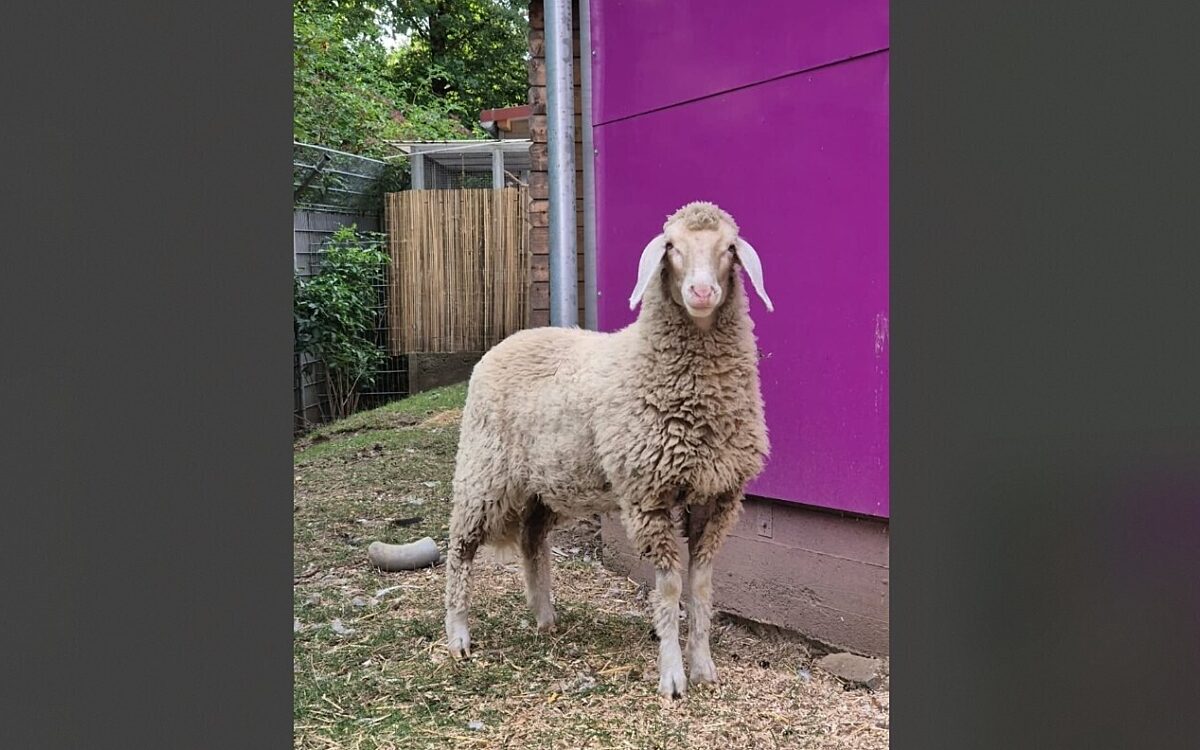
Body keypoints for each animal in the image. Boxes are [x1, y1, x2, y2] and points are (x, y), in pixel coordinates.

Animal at [443, 201, 773, 698]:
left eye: (730, 248)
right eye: (671, 246)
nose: (701, 291)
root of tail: (511, 338)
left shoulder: (716, 496)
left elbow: (701, 586)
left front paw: (703, 667)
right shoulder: (648, 495)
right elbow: (670, 589)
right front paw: (672, 677)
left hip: (544, 484)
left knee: (532, 541)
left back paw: (544, 617)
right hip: (484, 471)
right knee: (460, 549)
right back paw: (458, 635)